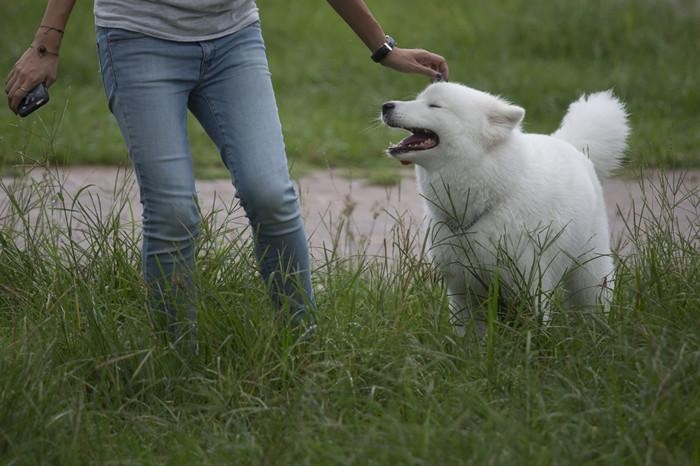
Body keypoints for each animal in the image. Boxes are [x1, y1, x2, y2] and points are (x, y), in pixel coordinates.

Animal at [382, 83, 628, 336]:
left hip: (589, 270)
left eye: (435, 106)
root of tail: (568, 144)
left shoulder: (530, 284)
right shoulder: (464, 292)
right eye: (419, 99)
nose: (386, 106)